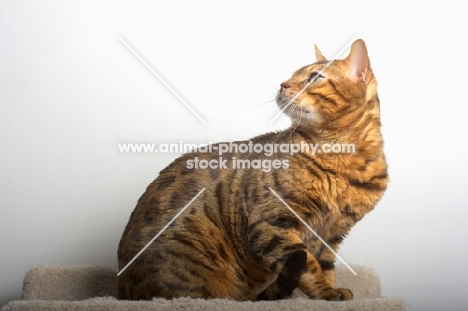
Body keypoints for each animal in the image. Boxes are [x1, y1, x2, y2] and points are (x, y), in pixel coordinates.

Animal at [117, 39, 388, 302]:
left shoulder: (332, 235)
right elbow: (309, 266)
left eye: (314, 78)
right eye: (292, 74)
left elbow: (325, 266)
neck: (342, 160)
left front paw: (331, 289)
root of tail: (122, 290)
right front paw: (325, 293)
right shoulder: (271, 223)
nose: (283, 85)